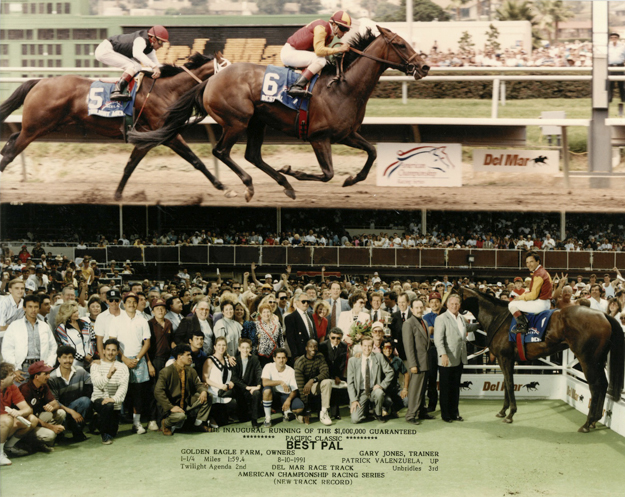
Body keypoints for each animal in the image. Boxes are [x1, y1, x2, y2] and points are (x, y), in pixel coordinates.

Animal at [0, 50, 232, 198]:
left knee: (11, 140)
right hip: (35, 127)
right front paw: (224, 187)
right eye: (229, 68)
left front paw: (118, 194)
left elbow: (130, 166)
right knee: (11, 152)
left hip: (44, 126)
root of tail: (40, 81)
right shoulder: (167, 135)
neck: (166, 90)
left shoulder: (146, 138)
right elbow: (196, 160)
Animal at [127, 26, 428, 202]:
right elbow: (327, 173)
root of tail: (210, 80)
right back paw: (250, 185)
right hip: (237, 121)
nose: (424, 66)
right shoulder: (319, 137)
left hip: (257, 122)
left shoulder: (347, 134)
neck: (344, 86)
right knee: (221, 151)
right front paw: (293, 171)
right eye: (401, 45)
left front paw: (351, 179)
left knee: (252, 155)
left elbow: (372, 153)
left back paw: (284, 185)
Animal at [456, 284, 620, 432]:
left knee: (595, 386)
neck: (497, 317)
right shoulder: (506, 359)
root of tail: (602, 315)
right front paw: (503, 411)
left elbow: (509, 384)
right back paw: (595, 420)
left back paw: (587, 423)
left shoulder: (505, 358)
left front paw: (510, 414)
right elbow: (506, 384)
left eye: (453, 293)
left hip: (587, 360)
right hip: (598, 360)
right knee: (603, 384)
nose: (450, 308)